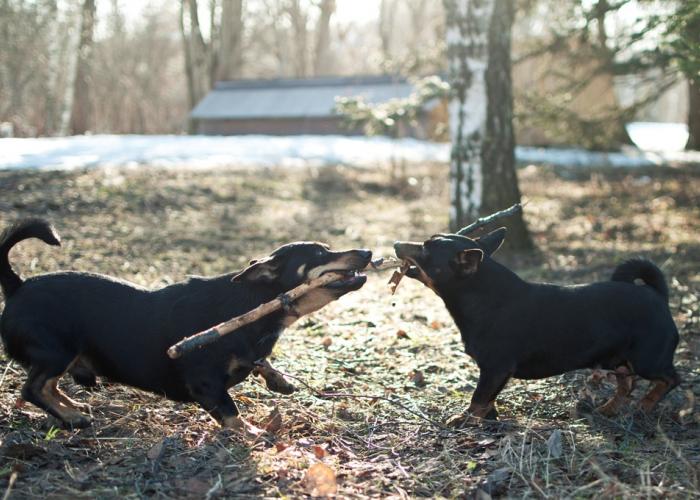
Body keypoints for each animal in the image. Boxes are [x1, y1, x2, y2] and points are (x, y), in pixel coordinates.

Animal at [0, 220, 372, 430]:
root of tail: (18, 285)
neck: (248, 303)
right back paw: (71, 418)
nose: (367, 252)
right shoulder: (205, 382)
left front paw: (277, 380)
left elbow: (259, 362)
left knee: (48, 386)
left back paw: (71, 408)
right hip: (56, 351)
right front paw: (253, 433)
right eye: (321, 253)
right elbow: (231, 413)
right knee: (32, 388)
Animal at [396, 229, 680, 424]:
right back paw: (609, 409)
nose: (396, 243)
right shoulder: (493, 372)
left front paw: (466, 420)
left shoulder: (496, 367)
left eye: (426, 249)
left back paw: (645, 405)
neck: (484, 296)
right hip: (618, 360)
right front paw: (489, 418)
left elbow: (478, 398)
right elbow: (487, 398)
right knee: (627, 384)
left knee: (671, 379)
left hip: (647, 359)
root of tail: (658, 295)